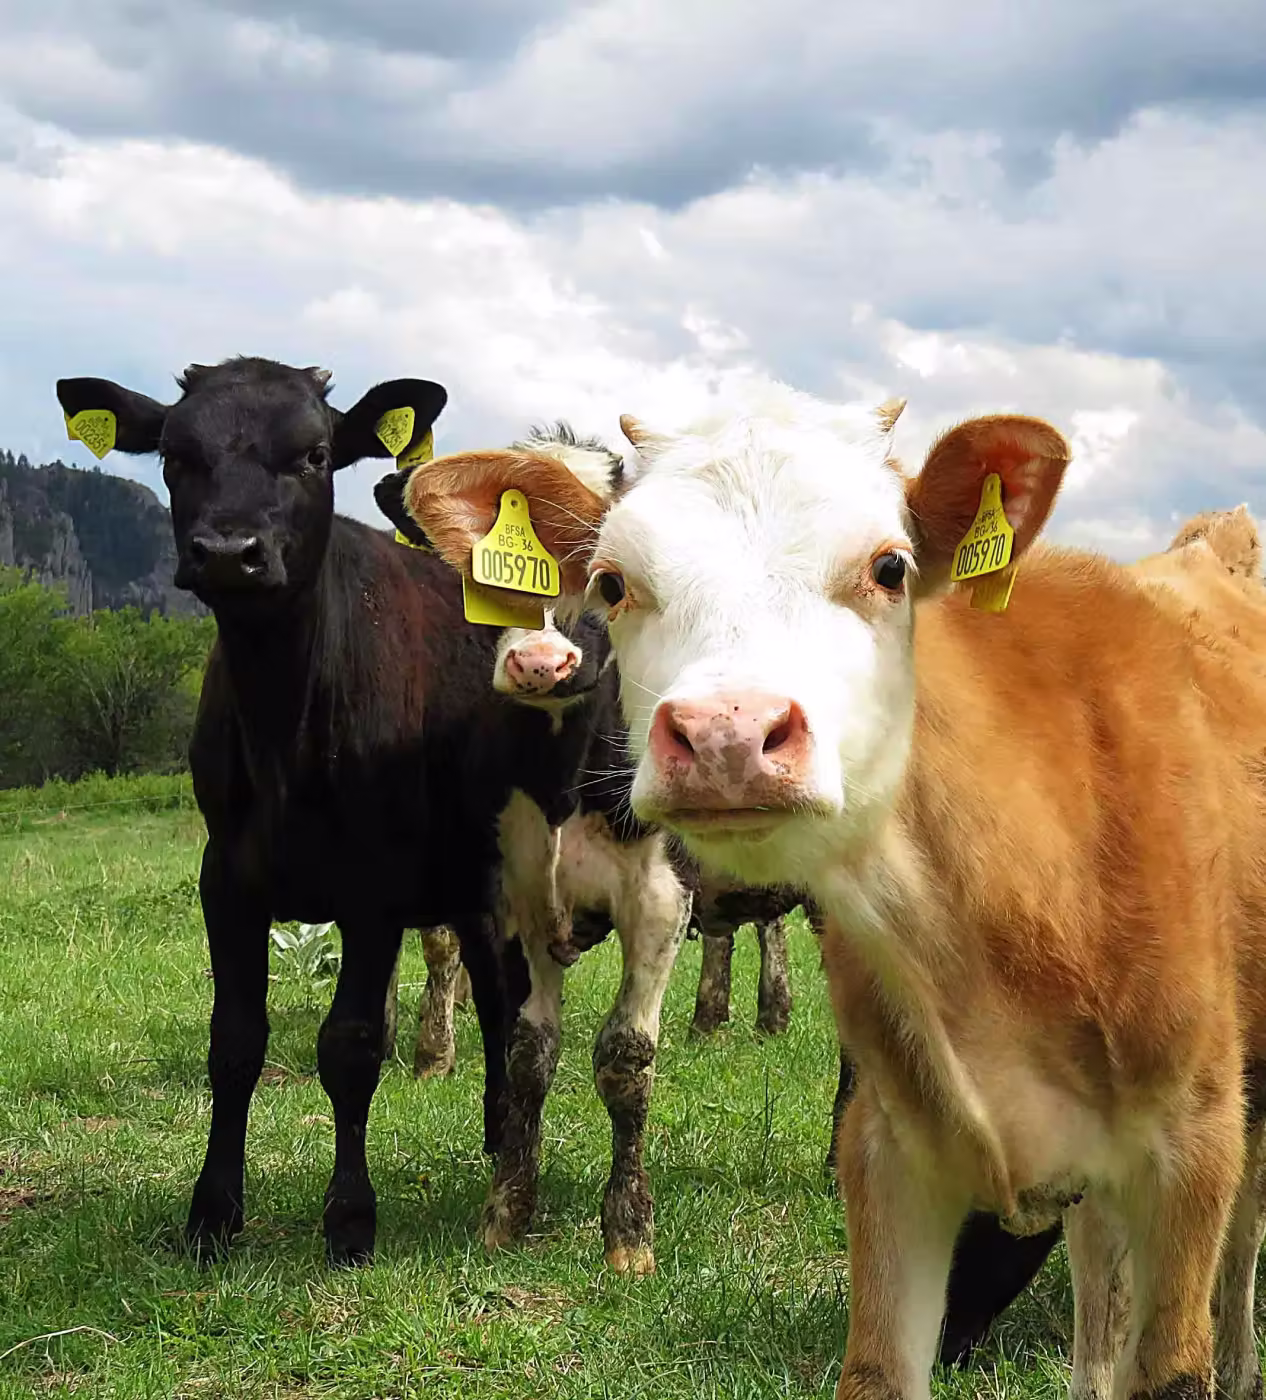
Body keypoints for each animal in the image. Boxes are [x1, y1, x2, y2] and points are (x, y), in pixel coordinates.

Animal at [53, 357, 541, 1269]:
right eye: (174, 454)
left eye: (315, 454)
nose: (228, 552)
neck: (286, 726)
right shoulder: (225, 878)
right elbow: (235, 1040)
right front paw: (212, 1213)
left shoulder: (374, 886)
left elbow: (349, 1044)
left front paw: (349, 1218)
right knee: (494, 998)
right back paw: (498, 1133)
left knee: (512, 997)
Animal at [393, 387, 1266, 1400]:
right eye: (609, 581)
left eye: (890, 568)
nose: (727, 735)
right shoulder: (527, 897)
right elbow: (533, 1052)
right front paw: (508, 1211)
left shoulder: (659, 900)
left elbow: (622, 1058)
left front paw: (626, 1234)